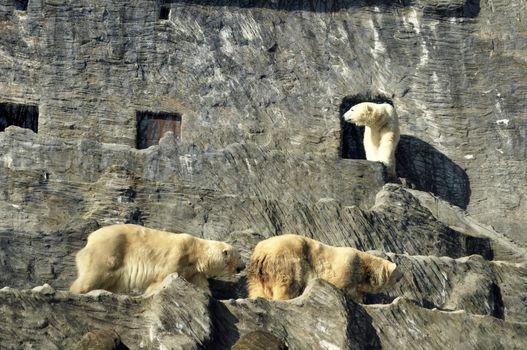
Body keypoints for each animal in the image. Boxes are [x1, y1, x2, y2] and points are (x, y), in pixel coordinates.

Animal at [69, 224, 244, 296]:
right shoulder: (178, 253)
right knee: (94, 273)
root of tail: (90, 239)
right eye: (240, 256)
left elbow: (200, 285)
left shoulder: (194, 271)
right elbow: (162, 277)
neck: (196, 252)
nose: (242, 266)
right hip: (107, 251)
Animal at [246, 232, 400, 300]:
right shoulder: (346, 266)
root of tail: (263, 252)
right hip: (287, 262)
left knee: (256, 288)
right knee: (287, 284)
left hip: (256, 272)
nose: (402, 276)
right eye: (399, 272)